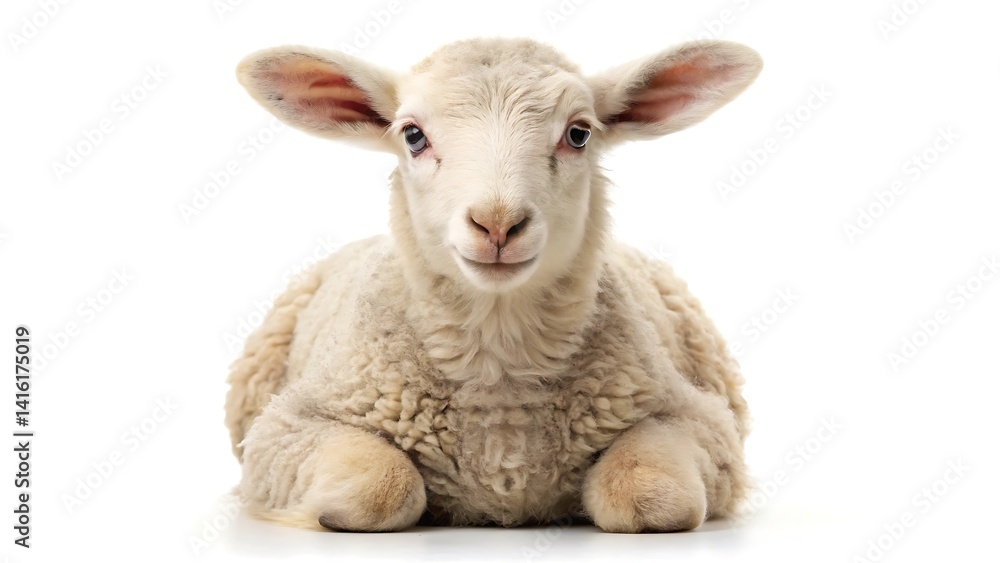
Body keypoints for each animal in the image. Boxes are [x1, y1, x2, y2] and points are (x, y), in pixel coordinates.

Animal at [225, 37, 763, 533]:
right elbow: (378, 487)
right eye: (413, 136)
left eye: (579, 134)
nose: (498, 223)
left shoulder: (702, 421)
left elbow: (650, 493)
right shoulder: (284, 428)